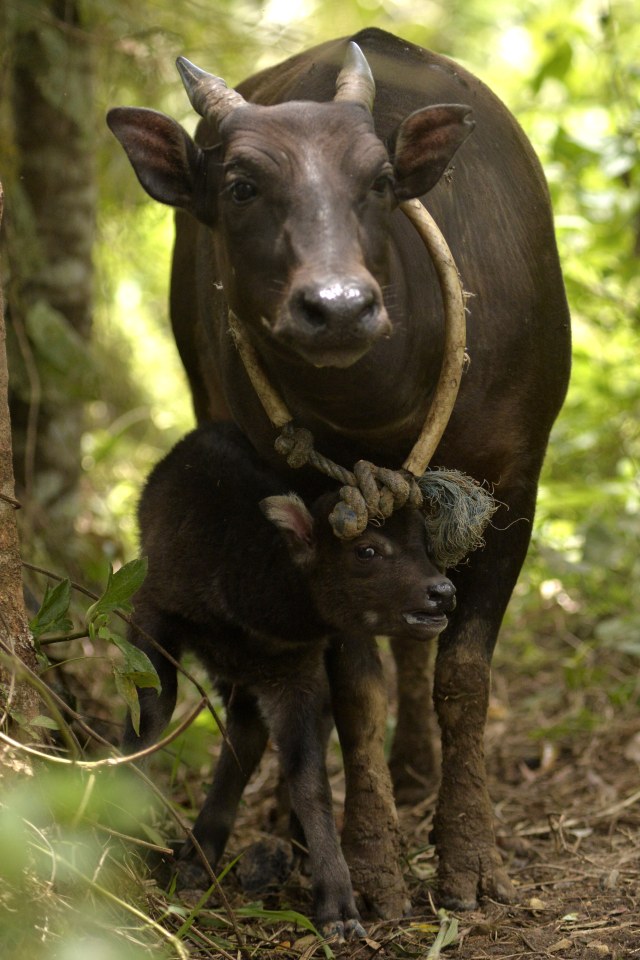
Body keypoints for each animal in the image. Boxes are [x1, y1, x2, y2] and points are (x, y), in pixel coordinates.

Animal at [125, 424, 456, 940]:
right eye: (366, 550)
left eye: (424, 546)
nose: (442, 592)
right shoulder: (151, 605)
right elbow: (151, 712)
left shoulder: (295, 670)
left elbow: (309, 778)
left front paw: (339, 908)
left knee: (247, 734)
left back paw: (203, 857)